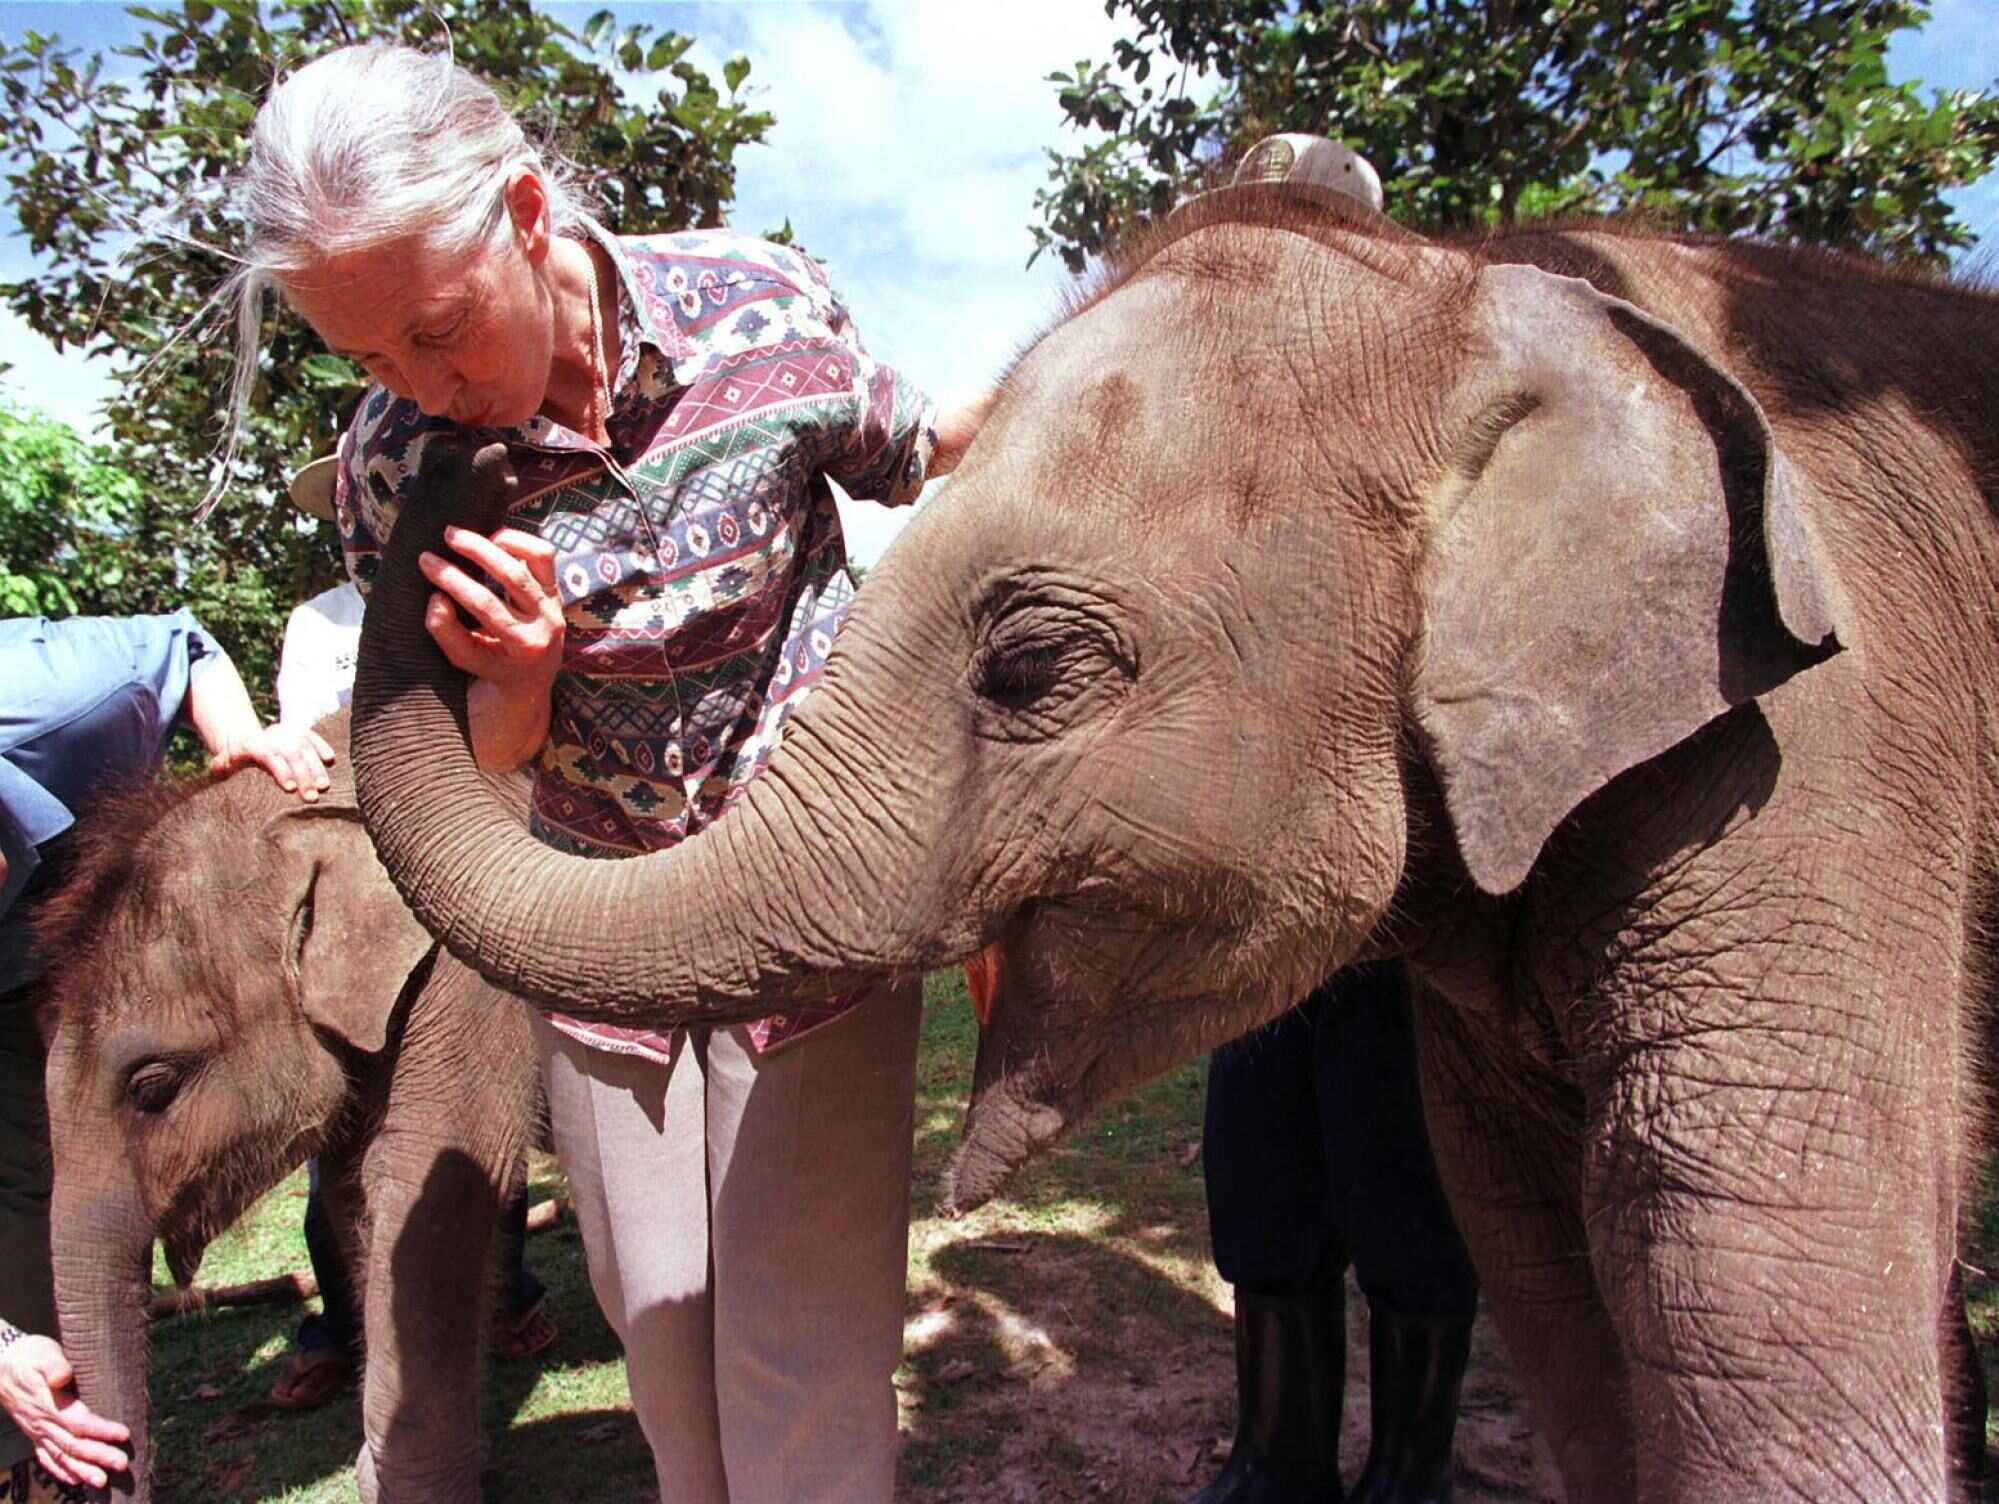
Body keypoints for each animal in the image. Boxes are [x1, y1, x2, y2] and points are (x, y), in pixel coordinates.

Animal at [341, 181, 1999, 1501]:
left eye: (1026, 671)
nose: (468, 469)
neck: (1475, 289)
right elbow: (1537, 1266)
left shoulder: (1810, 768)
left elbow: (1745, 1289)